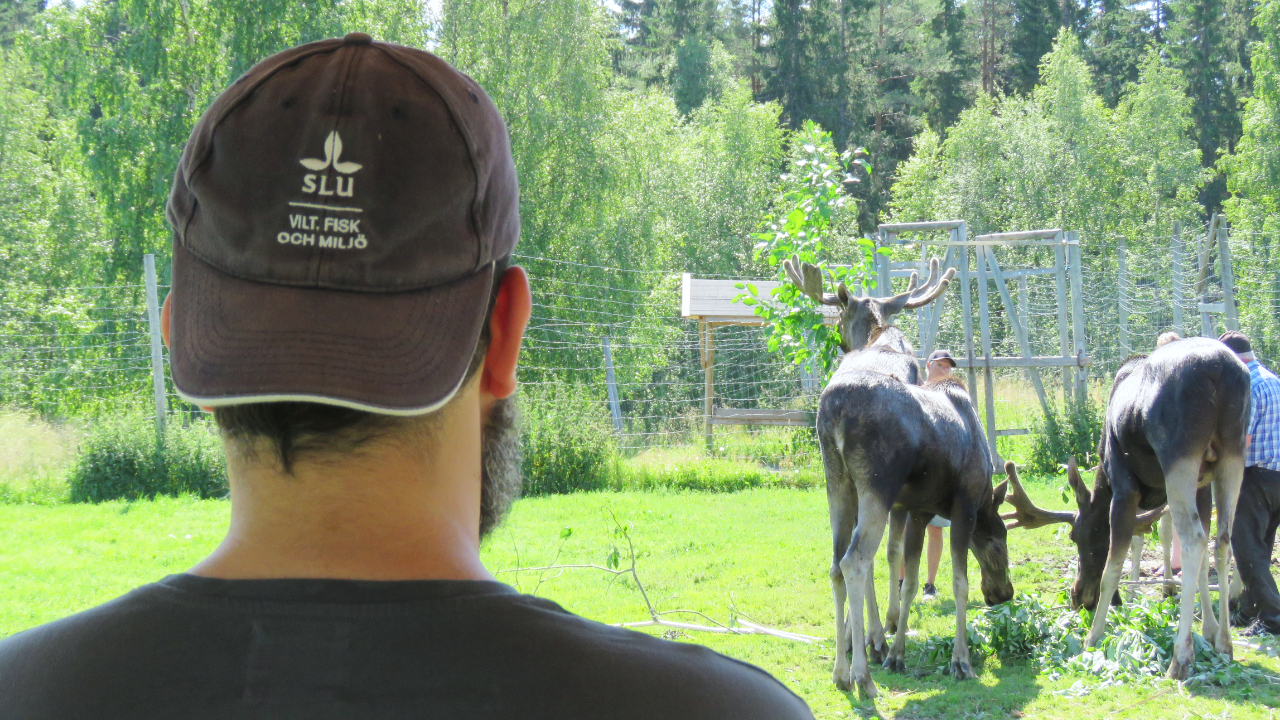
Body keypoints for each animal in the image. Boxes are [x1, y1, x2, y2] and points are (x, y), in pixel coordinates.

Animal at [785, 256, 1015, 698]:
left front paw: (879, 637)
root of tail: (835, 414)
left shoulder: (910, 505)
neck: (883, 338)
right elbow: (940, 573)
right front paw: (950, 656)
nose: (1004, 594)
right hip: (876, 485)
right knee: (857, 559)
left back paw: (843, 670)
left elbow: (900, 563)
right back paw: (864, 675)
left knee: (837, 562)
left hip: (838, 484)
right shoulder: (949, 506)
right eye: (999, 541)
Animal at [999, 338, 1250, 679]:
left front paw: (1093, 635)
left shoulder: (1123, 487)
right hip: (1232, 455)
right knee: (1222, 540)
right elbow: (1200, 569)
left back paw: (1180, 658)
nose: (1078, 597)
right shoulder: (1202, 484)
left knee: (1195, 539)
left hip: (1179, 457)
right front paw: (1209, 632)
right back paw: (1225, 643)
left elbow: (1112, 568)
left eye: (1075, 537)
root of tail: (1221, 373)